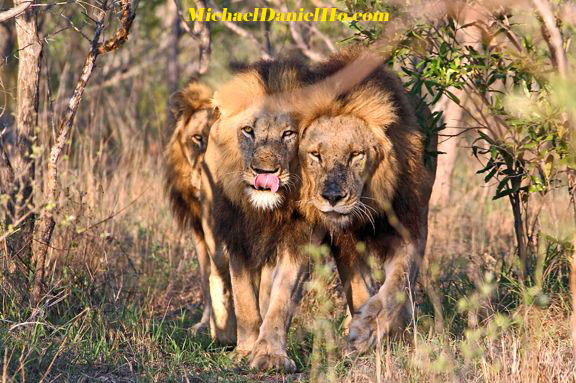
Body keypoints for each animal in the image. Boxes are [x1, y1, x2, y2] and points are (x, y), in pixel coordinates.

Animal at [197, 60, 316, 372]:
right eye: (248, 130)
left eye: (288, 134)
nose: (265, 173)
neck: (265, 211)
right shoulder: (238, 239)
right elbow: (243, 301)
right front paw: (244, 350)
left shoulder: (296, 241)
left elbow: (279, 301)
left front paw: (270, 355)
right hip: (213, 233)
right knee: (215, 273)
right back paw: (222, 332)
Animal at [294, 51, 438, 354]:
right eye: (316, 155)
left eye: (355, 155)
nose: (332, 197)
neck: (371, 203)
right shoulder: (344, 241)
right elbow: (359, 289)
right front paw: (360, 330)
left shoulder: (411, 229)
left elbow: (397, 285)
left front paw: (369, 329)